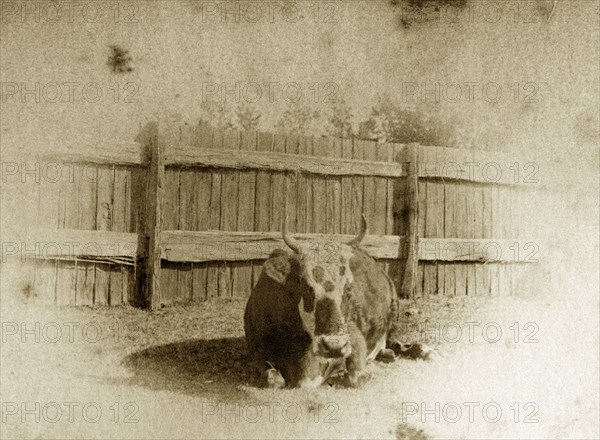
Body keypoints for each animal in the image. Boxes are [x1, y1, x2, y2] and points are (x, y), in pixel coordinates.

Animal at [243, 217, 432, 388]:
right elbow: (275, 379)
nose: (334, 346)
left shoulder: (352, 335)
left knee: (397, 341)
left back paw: (420, 350)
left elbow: (356, 376)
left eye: (348, 288)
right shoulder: (255, 353)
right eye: (307, 287)